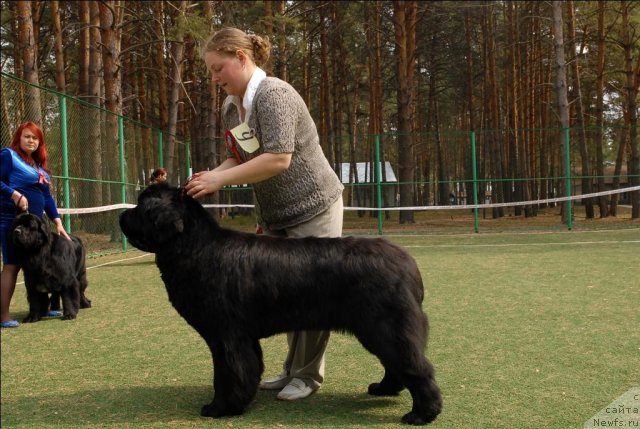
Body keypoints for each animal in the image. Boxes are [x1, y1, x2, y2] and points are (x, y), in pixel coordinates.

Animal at [119, 184, 440, 424]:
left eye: (142, 206)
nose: (122, 214)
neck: (194, 247)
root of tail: (409, 264)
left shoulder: (227, 336)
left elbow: (228, 374)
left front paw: (220, 408)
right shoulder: (237, 337)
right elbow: (241, 370)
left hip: (385, 327)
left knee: (416, 366)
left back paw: (422, 414)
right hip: (379, 329)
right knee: (397, 363)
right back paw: (384, 389)